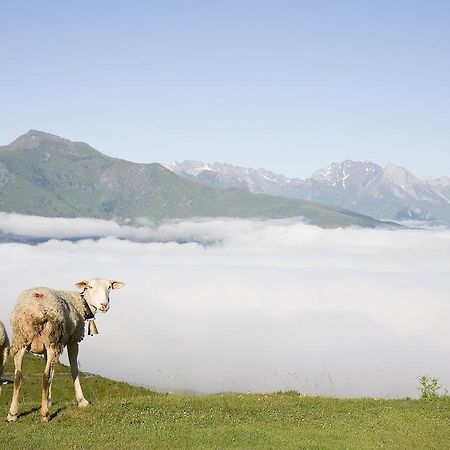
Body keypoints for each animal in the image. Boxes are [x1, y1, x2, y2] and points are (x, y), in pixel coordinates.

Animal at [5, 278, 125, 422]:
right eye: (90, 286)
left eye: (109, 287)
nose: (104, 305)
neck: (82, 303)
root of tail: (36, 309)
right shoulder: (73, 340)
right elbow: (73, 369)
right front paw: (82, 401)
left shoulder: (47, 348)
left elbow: (52, 372)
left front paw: (48, 400)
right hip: (52, 336)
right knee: (44, 376)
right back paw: (44, 414)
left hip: (22, 338)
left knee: (18, 375)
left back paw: (12, 414)